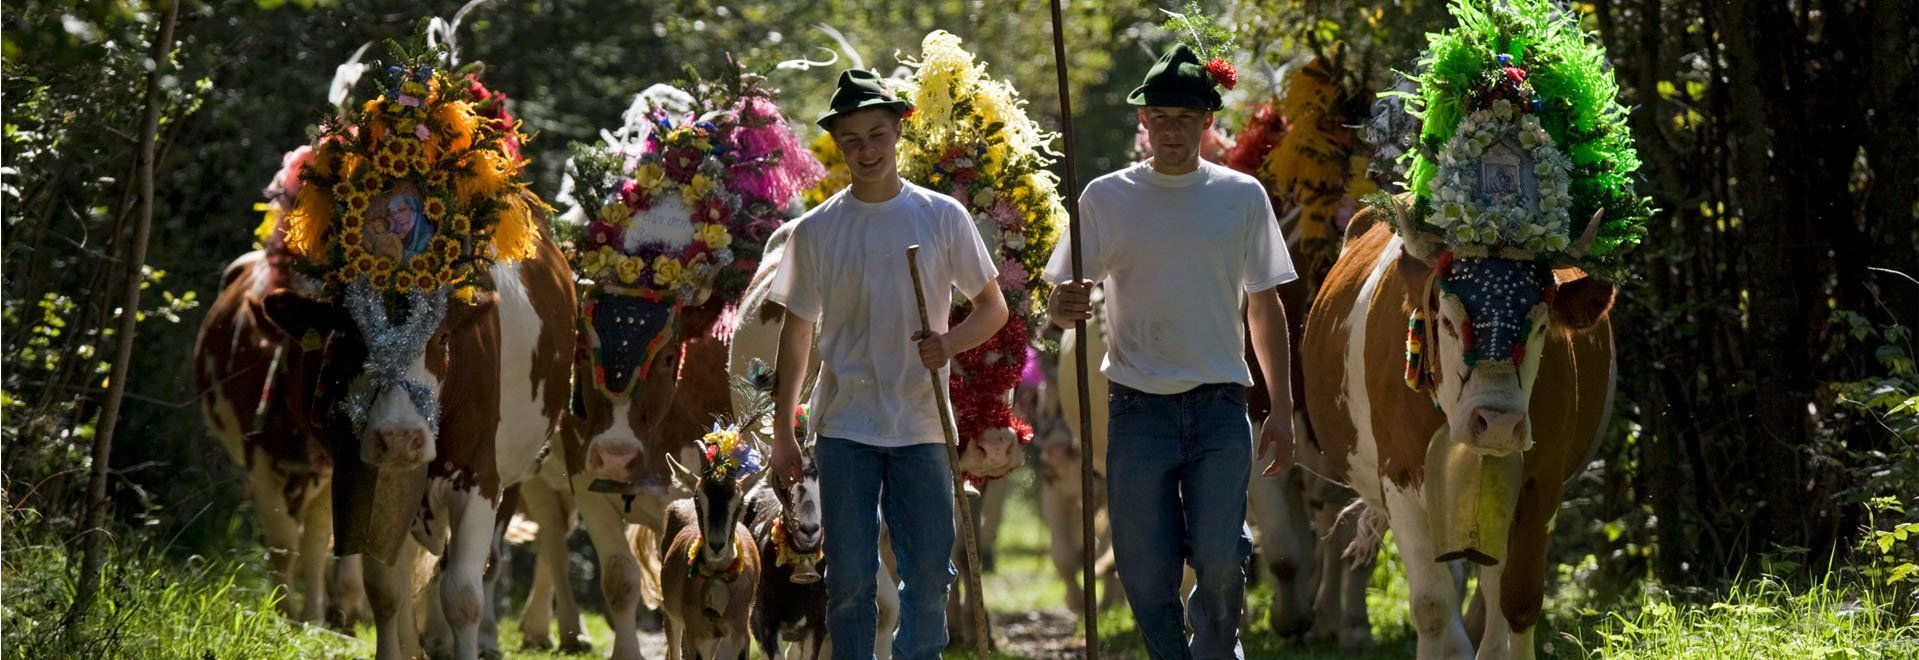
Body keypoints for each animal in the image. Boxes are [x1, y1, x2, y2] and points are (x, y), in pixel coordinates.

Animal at [253, 228, 575, 660]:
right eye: (351, 338)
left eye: (441, 337)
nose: (400, 438)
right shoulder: (367, 474)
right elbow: (386, 590)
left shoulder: (479, 477)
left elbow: (463, 595)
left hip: (516, 477)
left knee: (475, 564)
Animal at [1304, 203, 1619, 656]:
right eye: (1449, 323)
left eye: (1541, 327)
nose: (1498, 422)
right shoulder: (1398, 478)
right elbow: (1432, 604)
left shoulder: (1542, 483)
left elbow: (1518, 600)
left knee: (1492, 587)